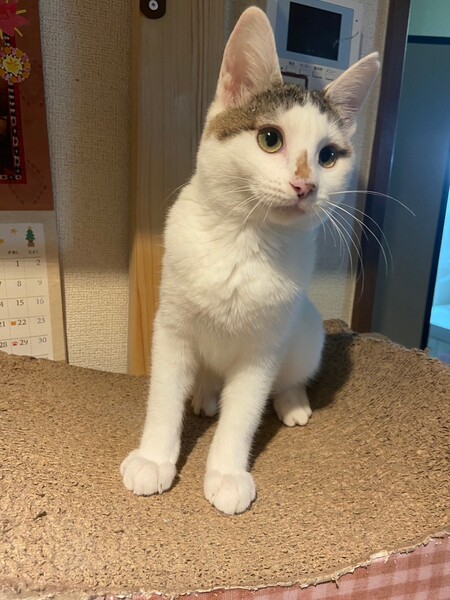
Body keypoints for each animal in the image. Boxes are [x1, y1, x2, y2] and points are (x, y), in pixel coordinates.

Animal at [121, 6, 380, 515]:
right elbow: (163, 398)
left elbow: (243, 415)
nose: (305, 185)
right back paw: (204, 395)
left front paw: (226, 473)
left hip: (305, 328)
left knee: (290, 376)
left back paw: (292, 402)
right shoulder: (172, 328)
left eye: (328, 156)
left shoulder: (263, 350)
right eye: (269, 139)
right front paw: (154, 457)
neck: (244, 241)